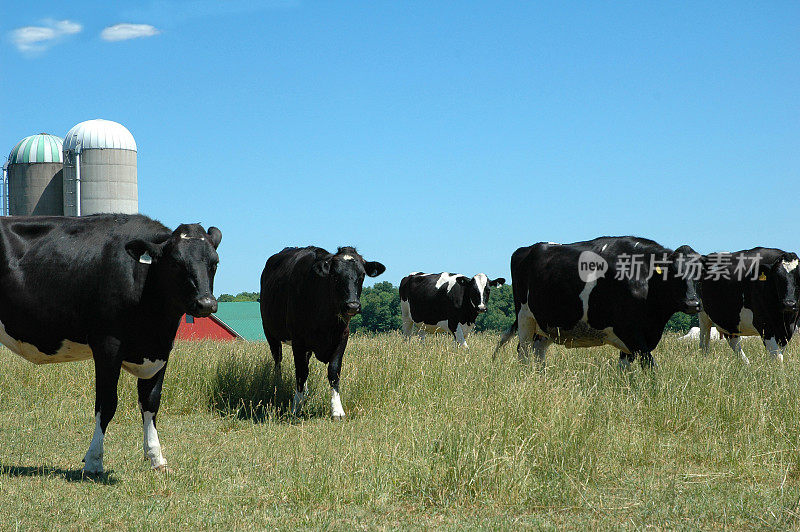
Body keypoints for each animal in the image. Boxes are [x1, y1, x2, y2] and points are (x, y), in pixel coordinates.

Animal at [0, 214, 222, 472]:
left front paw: (156, 457)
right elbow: (107, 404)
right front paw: (94, 460)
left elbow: (151, 402)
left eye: (215, 262)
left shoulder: (160, 352)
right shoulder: (107, 345)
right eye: (176, 263)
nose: (206, 303)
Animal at [260, 246, 386, 420]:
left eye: (362, 275)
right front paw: (296, 407)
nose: (352, 305)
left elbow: (333, 371)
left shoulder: (342, 337)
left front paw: (337, 410)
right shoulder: (298, 340)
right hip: (270, 332)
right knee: (278, 360)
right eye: (335, 275)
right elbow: (300, 372)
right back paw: (278, 385)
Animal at [496, 238, 704, 368]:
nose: (693, 303)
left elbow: (625, 369)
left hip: (547, 325)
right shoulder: (630, 331)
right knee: (523, 351)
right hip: (525, 317)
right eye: (674, 273)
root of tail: (527, 249)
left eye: (699, 274)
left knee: (538, 353)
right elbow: (650, 365)